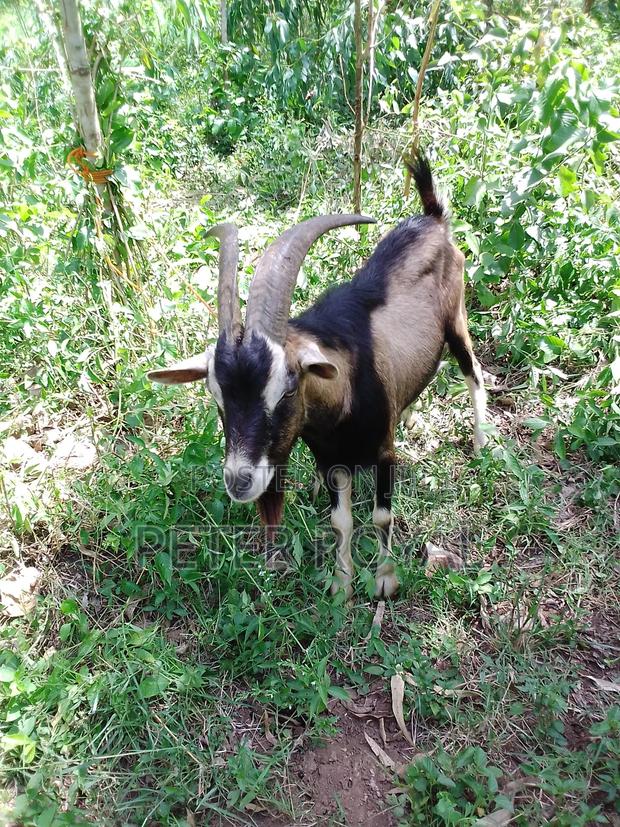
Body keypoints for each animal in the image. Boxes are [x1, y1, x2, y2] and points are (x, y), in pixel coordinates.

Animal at [148, 155, 487, 598]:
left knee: (472, 371)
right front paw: (342, 585)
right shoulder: (329, 461)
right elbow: (340, 521)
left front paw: (384, 580)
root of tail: (433, 217)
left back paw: (482, 444)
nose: (240, 481)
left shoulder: (384, 454)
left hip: (457, 319)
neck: (343, 406)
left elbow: (381, 516)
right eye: (217, 398)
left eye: (287, 389)